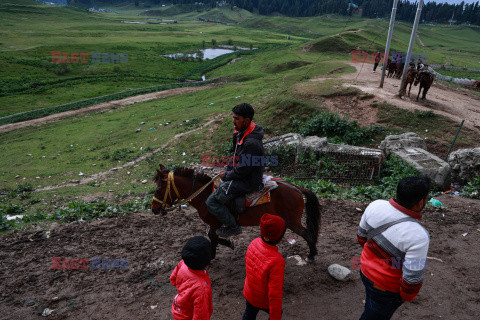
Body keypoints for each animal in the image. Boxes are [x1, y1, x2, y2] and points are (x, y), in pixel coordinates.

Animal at [152, 166, 320, 262]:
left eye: (159, 190)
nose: (154, 209)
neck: (205, 195)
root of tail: (296, 187)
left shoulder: (215, 223)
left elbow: (213, 237)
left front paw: (214, 253)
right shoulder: (214, 224)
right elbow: (213, 236)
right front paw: (226, 244)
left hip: (293, 221)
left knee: (307, 233)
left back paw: (312, 255)